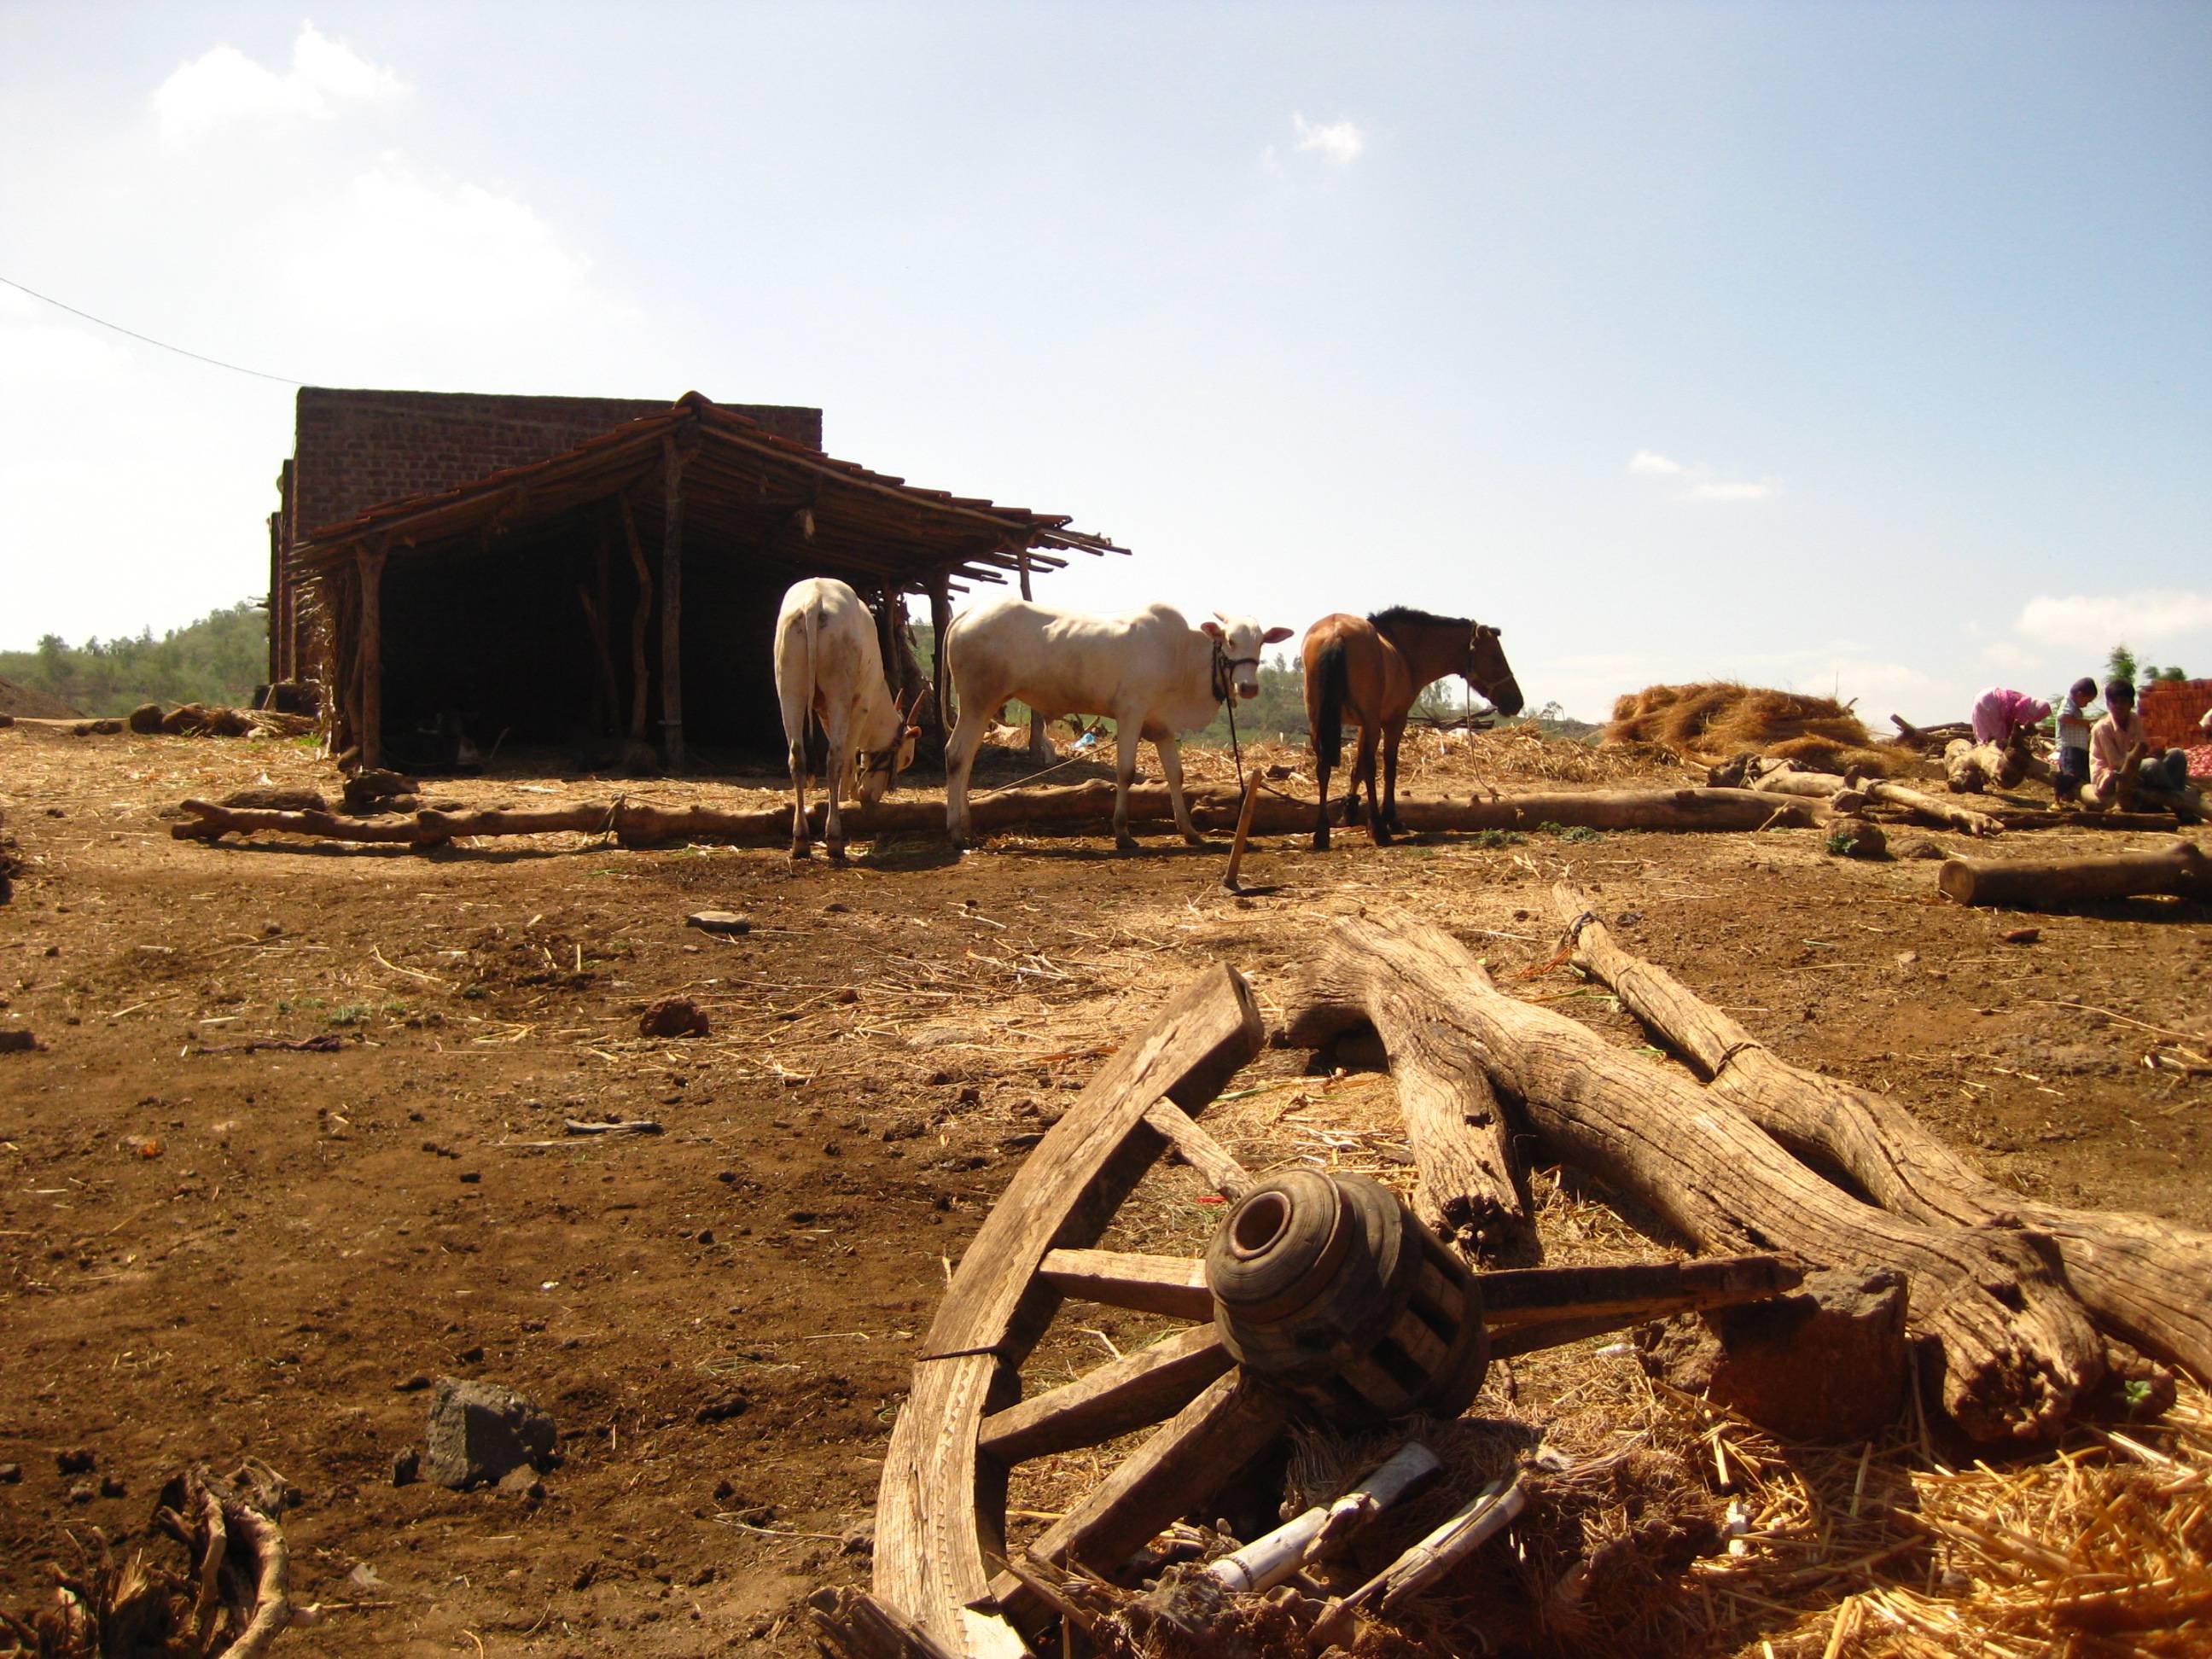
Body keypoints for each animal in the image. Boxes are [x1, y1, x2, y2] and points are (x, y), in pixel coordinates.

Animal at [774, 579, 920, 862]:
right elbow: (849, 758)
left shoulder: (823, 713)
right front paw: (846, 797)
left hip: (788, 689)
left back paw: (800, 841)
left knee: (797, 757)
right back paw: (834, 839)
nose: (871, 796)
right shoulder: (861, 703)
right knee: (834, 759)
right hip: (839, 693)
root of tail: (814, 600)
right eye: (907, 758)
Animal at [938, 602, 1291, 858]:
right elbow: (1126, 772)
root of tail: (968, 613)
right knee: (956, 754)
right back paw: (956, 833)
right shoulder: (1130, 713)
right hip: (977, 701)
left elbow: (1175, 775)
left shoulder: (1162, 726)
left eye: (1261, 643)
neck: (1181, 655)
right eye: (1230, 640)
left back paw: (967, 828)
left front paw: (1190, 831)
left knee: (966, 759)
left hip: (985, 704)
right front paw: (1122, 833)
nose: (1248, 687)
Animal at [1291, 606, 1522, 849]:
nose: (1517, 701)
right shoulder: (1393, 721)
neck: (1401, 651)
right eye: (1495, 657)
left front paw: (1350, 808)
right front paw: (1389, 819)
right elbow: (1388, 767)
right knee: (1370, 767)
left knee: (1323, 768)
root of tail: (1336, 633)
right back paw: (1379, 830)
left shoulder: (1364, 725)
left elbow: (1357, 768)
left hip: (1319, 723)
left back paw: (1322, 832)